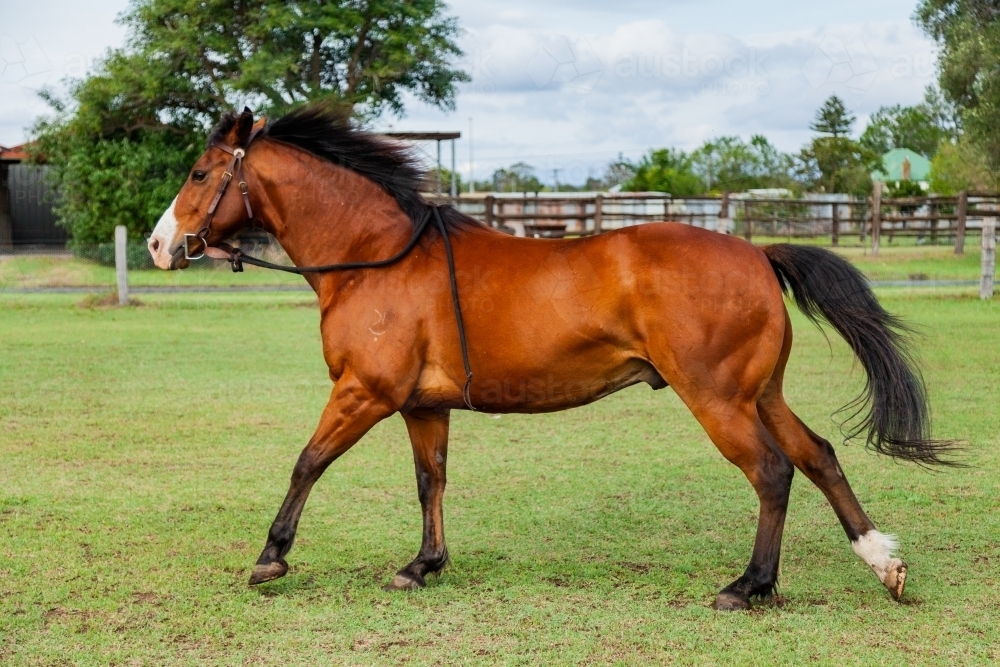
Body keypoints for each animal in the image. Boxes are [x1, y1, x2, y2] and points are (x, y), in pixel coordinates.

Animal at [147, 106, 952, 610]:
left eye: (198, 174)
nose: (159, 244)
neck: (376, 259)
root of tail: (756, 252)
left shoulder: (364, 391)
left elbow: (307, 463)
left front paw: (271, 556)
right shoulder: (422, 405)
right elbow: (430, 480)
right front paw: (423, 565)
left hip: (717, 398)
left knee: (772, 471)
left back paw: (747, 585)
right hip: (760, 393)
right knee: (817, 456)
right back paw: (882, 562)